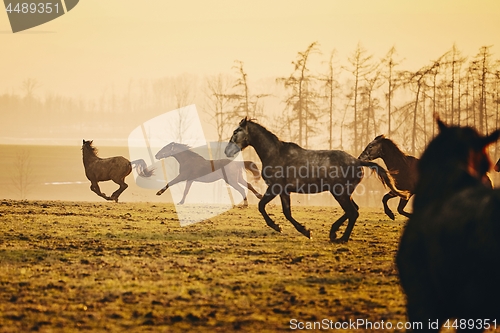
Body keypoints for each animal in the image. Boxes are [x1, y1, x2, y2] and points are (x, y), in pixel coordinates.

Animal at [225, 118, 408, 243]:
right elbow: (285, 211)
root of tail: (357, 162)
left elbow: (263, 206)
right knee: (353, 210)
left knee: (353, 212)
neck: (275, 153)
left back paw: (341, 238)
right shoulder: (284, 191)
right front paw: (302, 230)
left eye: (235, 131)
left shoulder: (275, 188)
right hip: (344, 193)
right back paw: (334, 232)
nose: (227, 150)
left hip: (339, 193)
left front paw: (290, 229)